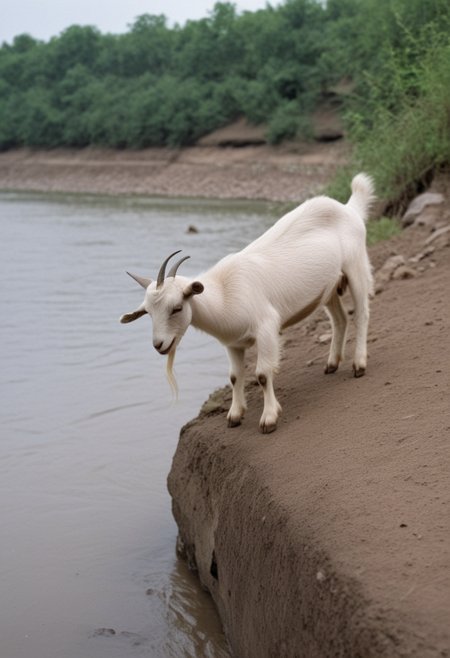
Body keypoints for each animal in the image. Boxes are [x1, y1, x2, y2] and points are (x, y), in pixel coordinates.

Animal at [120, 173, 374, 433]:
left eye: (177, 307)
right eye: (148, 313)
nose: (159, 345)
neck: (224, 293)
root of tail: (349, 208)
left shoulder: (267, 328)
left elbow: (262, 374)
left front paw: (269, 418)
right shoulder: (233, 343)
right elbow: (234, 377)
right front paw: (235, 414)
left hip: (356, 267)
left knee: (361, 314)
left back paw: (359, 364)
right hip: (329, 288)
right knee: (340, 319)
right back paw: (332, 363)